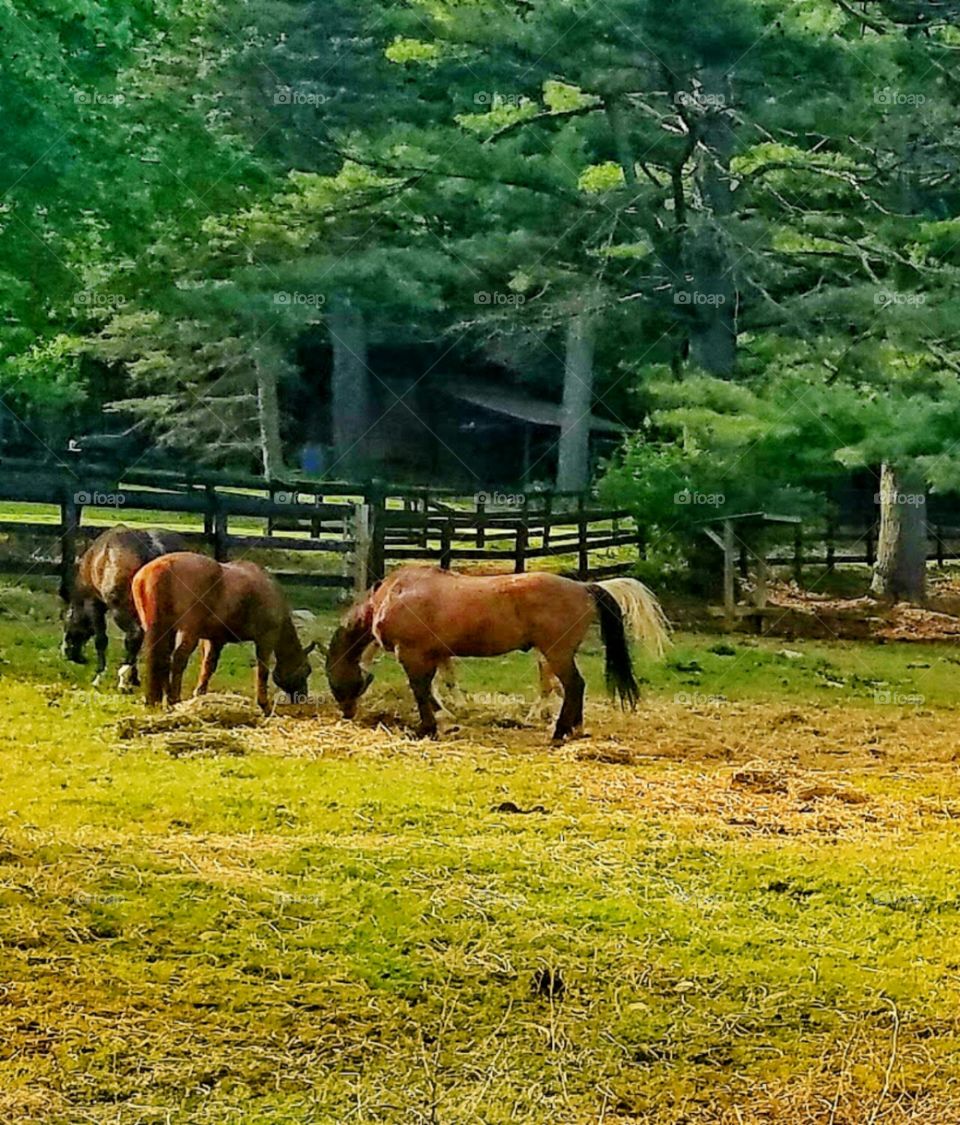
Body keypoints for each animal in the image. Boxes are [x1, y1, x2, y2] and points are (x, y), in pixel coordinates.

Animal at [60, 524, 187, 688]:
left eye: (67, 621)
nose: (67, 652)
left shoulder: (94, 605)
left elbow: (101, 640)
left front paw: (100, 676)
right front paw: (134, 678)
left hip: (120, 610)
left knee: (134, 636)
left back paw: (123, 681)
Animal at [131, 553, 315, 711]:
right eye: (307, 669)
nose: (302, 697)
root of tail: (161, 566)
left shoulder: (214, 639)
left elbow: (208, 666)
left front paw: (200, 695)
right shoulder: (266, 639)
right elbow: (262, 671)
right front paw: (264, 704)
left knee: (163, 660)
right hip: (188, 632)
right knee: (178, 660)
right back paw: (173, 699)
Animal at [321, 567, 666, 742]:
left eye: (333, 679)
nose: (347, 712)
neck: (393, 594)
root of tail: (583, 587)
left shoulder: (413, 655)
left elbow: (420, 691)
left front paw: (427, 728)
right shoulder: (436, 655)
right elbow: (437, 688)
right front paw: (444, 717)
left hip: (556, 654)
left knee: (574, 686)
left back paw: (560, 731)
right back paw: (572, 729)